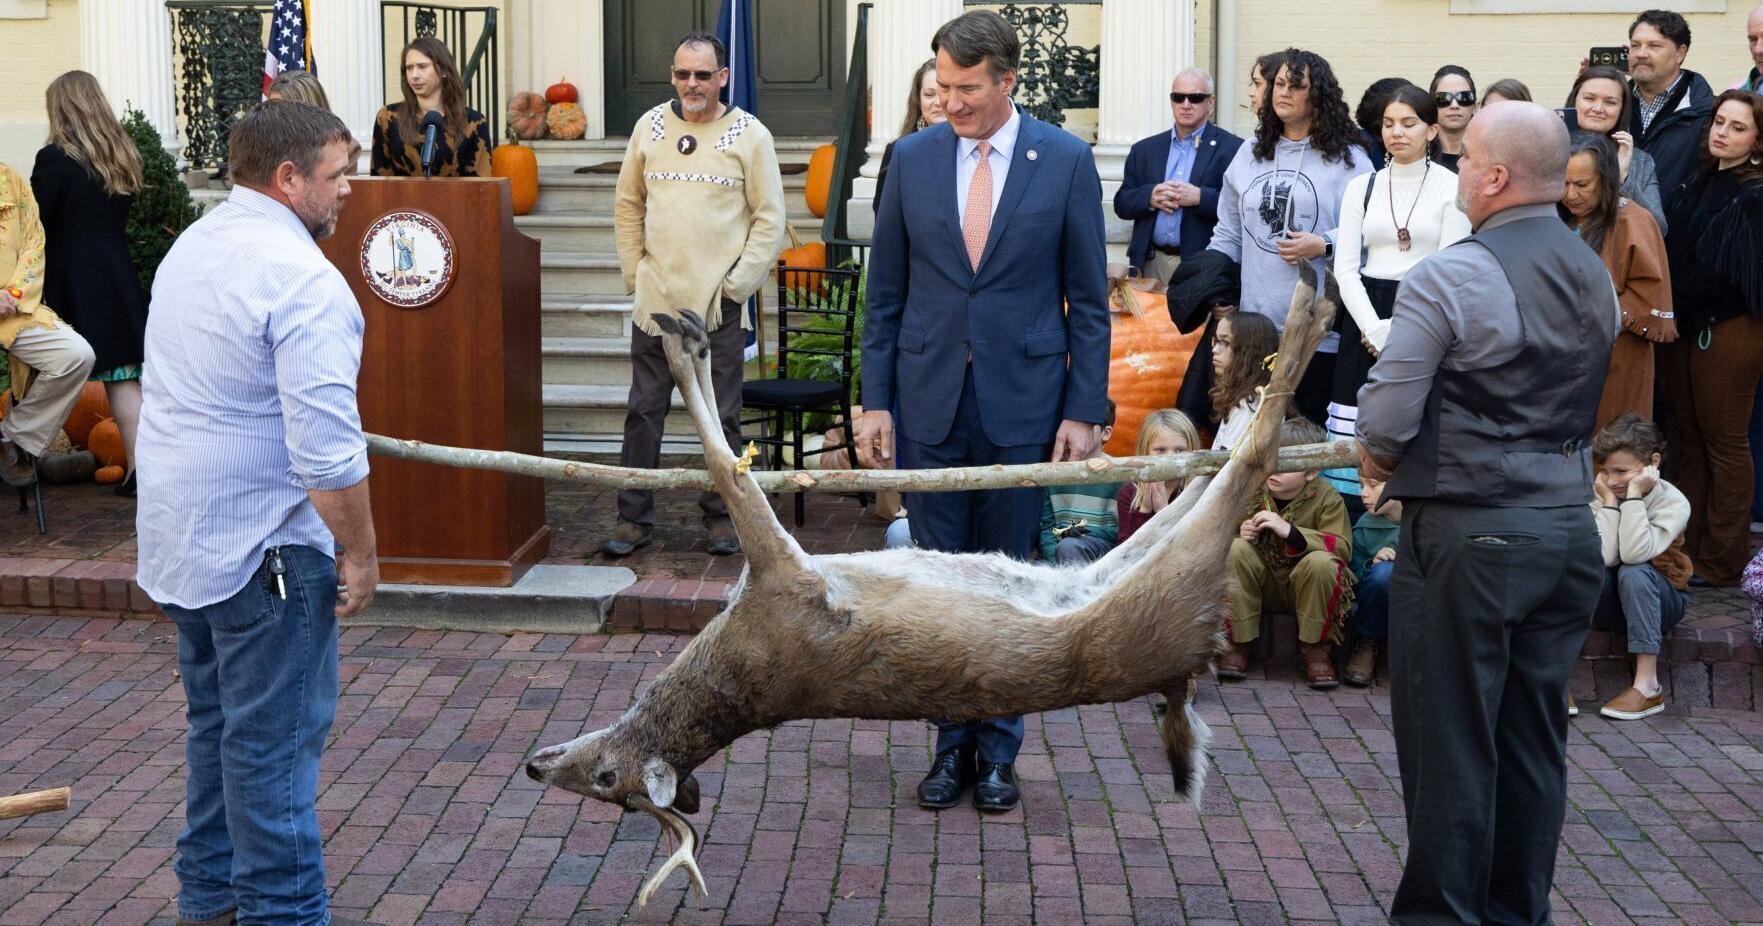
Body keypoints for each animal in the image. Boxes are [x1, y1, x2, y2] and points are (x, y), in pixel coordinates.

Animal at [525, 261, 1341, 906]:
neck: (728, 654)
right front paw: (682, 331)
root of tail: (1189, 659)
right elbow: (727, 461)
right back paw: (1305, 315)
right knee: (1241, 466)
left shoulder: (779, 572)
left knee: (1223, 467)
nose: (536, 766)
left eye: (602, 776)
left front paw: (683, 325)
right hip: (1163, 582)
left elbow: (724, 456)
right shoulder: (785, 575)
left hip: (1147, 570)